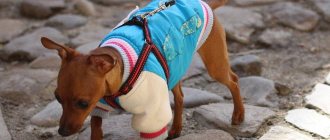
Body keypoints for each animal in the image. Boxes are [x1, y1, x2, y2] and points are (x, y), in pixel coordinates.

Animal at [40, 0, 244, 139]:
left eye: (83, 103)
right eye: (57, 98)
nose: (62, 131)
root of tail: (203, 2)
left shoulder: (152, 115)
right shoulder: (100, 106)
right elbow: (96, 129)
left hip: (215, 65)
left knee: (234, 80)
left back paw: (238, 115)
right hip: (173, 68)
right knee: (180, 96)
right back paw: (176, 128)